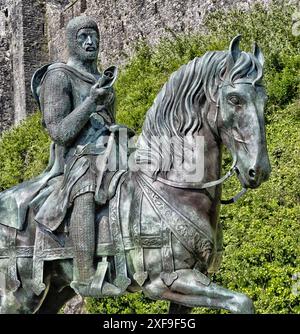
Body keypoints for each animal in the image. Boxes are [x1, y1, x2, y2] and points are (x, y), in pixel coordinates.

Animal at [0, 36, 272, 314]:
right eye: (235, 99)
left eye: (264, 98)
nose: (258, 170)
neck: (171, 185)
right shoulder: (166, 281)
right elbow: (242, 301)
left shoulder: (189, 283)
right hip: (17, 295)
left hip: (53, 290)